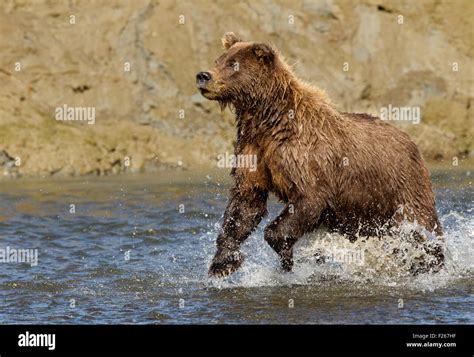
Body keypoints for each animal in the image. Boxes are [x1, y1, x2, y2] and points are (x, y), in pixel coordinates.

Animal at [197, 32, 444, 276]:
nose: (203, 75)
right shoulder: (253, 150)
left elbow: (309, 198)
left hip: (402, 186)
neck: (266, 120)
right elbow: (246, 202)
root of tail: (411, 140)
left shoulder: (306, 159)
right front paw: (223, 261)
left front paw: (287, 257)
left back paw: (430, 262)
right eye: (218, 60)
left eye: (233, 64)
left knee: (420, 225)